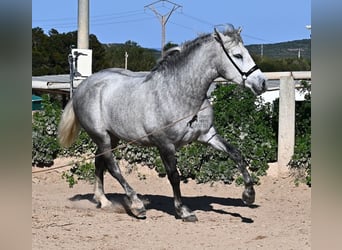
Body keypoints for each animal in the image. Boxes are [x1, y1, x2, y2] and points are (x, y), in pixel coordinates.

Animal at [58, 25, 268, 221]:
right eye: (238, 55)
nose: (262, 83)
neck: (178, 94)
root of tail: (83, 87)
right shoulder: (165, 144)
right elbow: (174, 175)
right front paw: (183, 211)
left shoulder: (208, 135)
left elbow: (236, 154)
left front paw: (249, 195)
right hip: (101, 136)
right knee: (112, 166)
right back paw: (136, 205)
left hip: (113, 136)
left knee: (99, 161)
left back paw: (103, 200)